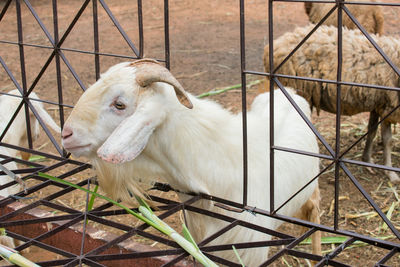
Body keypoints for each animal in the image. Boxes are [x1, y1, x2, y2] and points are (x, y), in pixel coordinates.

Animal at [262, 24, 400, 183]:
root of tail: (272, 47)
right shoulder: (389, 105)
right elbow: (388, 140)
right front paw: (391, 173)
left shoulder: (377, 103)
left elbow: (372, 131)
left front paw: (367, 160)